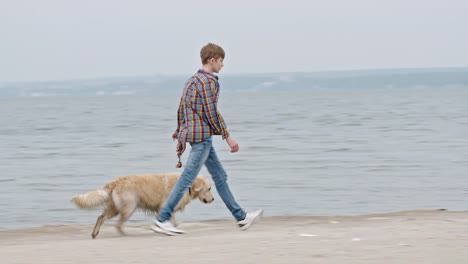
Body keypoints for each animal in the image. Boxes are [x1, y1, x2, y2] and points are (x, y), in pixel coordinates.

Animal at [71, 172, 214, 238]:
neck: (187, 186)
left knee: (100, 217)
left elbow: (173, 221)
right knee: (118, 224)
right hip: (129, 208)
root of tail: (115, 182)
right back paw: (124, 234)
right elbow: (170, 219)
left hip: (115, 208)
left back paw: (94, 233)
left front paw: (171, 228)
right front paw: (168, 228)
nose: (212, 199)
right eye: (209, 188)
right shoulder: (165, 205)